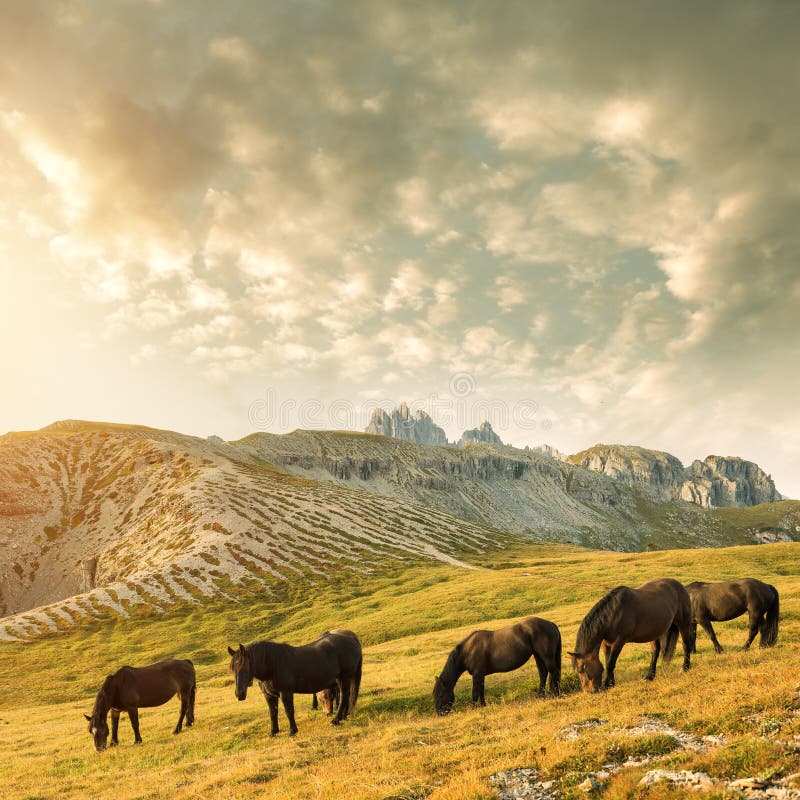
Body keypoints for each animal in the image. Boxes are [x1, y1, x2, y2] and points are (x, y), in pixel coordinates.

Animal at [227, 628, 360, 736]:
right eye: (233, 669)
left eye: (244, 667)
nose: (239, 694)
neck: (273, 665)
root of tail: (351, 638)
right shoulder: (269, 695)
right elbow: (273, 712)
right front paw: (273, 732)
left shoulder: (285, 693)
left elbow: (289, 711)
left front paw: (292, 731)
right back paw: (343, 717)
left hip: (344, 677)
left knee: (343, 697)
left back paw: (335, 720)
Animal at [432, 616, 564, 716]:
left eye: (440, 694)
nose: (440, 713)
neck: (469, 649)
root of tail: (551, 624)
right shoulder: (481, 675)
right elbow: (481, 691)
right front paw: (483, 705)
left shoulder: (477, 674)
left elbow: (475, 692)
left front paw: (474, 708)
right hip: (538, 655)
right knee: (543, 673)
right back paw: (541, 696)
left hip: (546, 656)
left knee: (553, 672)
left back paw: (555, 694)